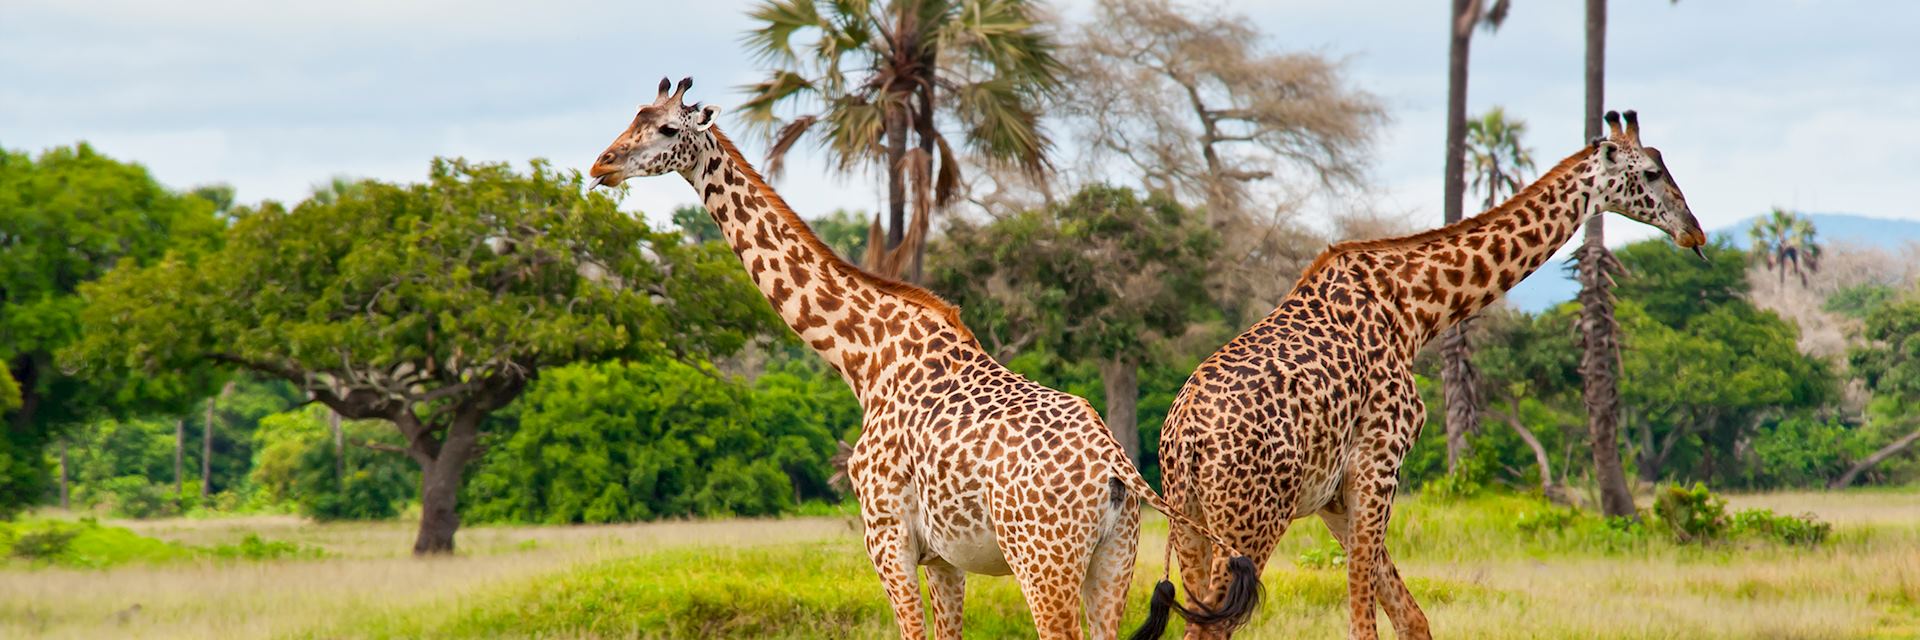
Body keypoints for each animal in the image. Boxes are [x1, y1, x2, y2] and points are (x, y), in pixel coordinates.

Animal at [583, 78, 1267, 638]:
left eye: (666, 129)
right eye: (634, 115)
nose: (601, 164)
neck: (863, 357)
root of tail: (1117, 468)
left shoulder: (886, 536)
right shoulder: (943, 558)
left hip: (1042, 560)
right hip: (1114, 558)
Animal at [1159, 111, 1704, 634]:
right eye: (1651, 172)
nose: (1694, 230)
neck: (1416, 310)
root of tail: (1185, 437)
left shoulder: (1333, 496)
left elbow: (1412, 617)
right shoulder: (1377, 464)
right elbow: (1363, 623)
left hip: (1189, 522)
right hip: (1252, 520)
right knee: (1208, 629)